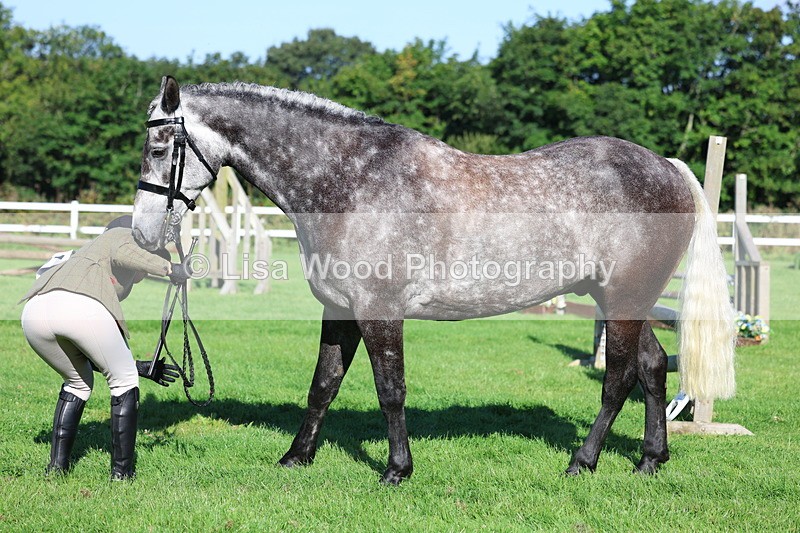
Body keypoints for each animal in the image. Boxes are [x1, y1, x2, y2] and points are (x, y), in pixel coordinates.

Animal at [132, 76, 736, 484]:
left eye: (159, 148)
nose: (142, 231)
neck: (350, 179)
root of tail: (667, 168)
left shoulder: (379, 311)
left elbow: (390, 390)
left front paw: (397, 469)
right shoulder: (340, 309)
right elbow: (323, 385)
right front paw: (296, 458)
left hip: (625, 298)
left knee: (618, 378)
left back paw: (582, 462)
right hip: (622, 298)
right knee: (653, 367)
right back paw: (650, 461)